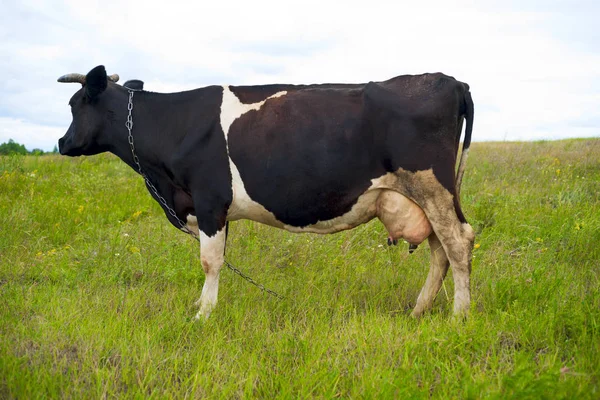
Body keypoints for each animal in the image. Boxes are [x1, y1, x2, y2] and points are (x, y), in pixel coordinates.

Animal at [58, 65, 476, 322]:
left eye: (75, 104)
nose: (61, 143)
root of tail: (453, 81)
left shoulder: (209, 202)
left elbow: (210, 262)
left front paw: (202, 315)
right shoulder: (214, 210)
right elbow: (218, 259)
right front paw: (201, 305)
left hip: (432, 187)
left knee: (458, 242)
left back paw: (459, 315)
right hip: (424, 195)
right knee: (440, 249)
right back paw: (419, 311)